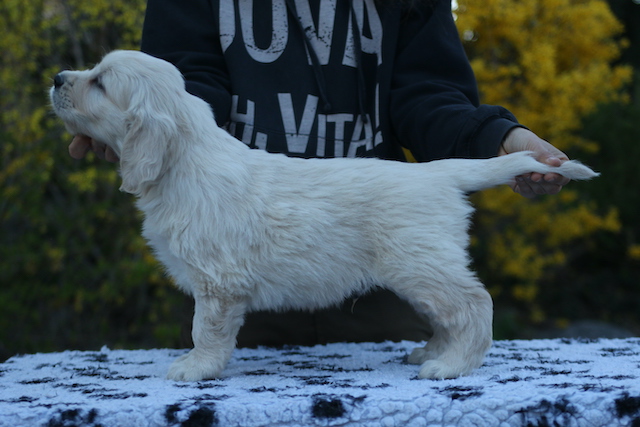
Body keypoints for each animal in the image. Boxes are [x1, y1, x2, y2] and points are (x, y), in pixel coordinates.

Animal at [50, 50, 598, 381]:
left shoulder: (218, 281)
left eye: (100, 82)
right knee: (451, 313)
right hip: (421, 267)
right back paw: (433, 352)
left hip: (419, 262)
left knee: (475, 303)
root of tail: (439, 173)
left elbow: (205, 328)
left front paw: (195, 368)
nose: (56, 78)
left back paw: (451, 367)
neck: (184, 161)